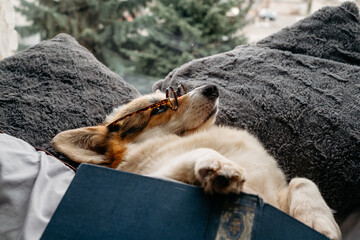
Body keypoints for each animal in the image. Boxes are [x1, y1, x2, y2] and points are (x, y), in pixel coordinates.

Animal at [52, 84, 340, 238]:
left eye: (174, 92)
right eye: (159, 107)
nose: (212, 87)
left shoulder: (278, 195)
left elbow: (303, 181)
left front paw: (320, 223)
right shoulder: (159, 178)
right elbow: (198, 153)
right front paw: (221, 167)